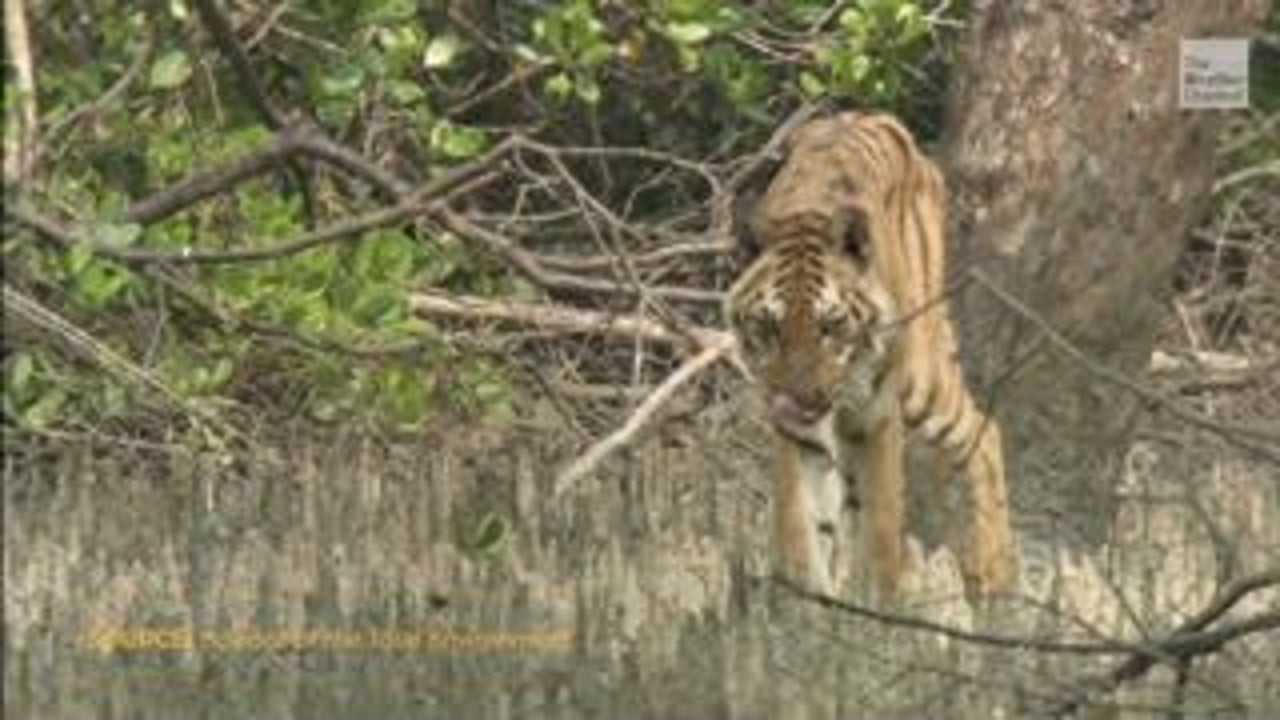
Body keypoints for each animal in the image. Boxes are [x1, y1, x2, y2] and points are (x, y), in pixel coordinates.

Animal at [724, 112, 1018, 602]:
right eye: (770, 327)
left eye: (830, 325)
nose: (801, 399)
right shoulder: (796, 432)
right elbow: (800, 524)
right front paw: (806, 605)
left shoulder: (878, 415)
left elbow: (882, 529)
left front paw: (879, 607)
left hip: (923, 378)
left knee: (983, 428)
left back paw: (994, 578)